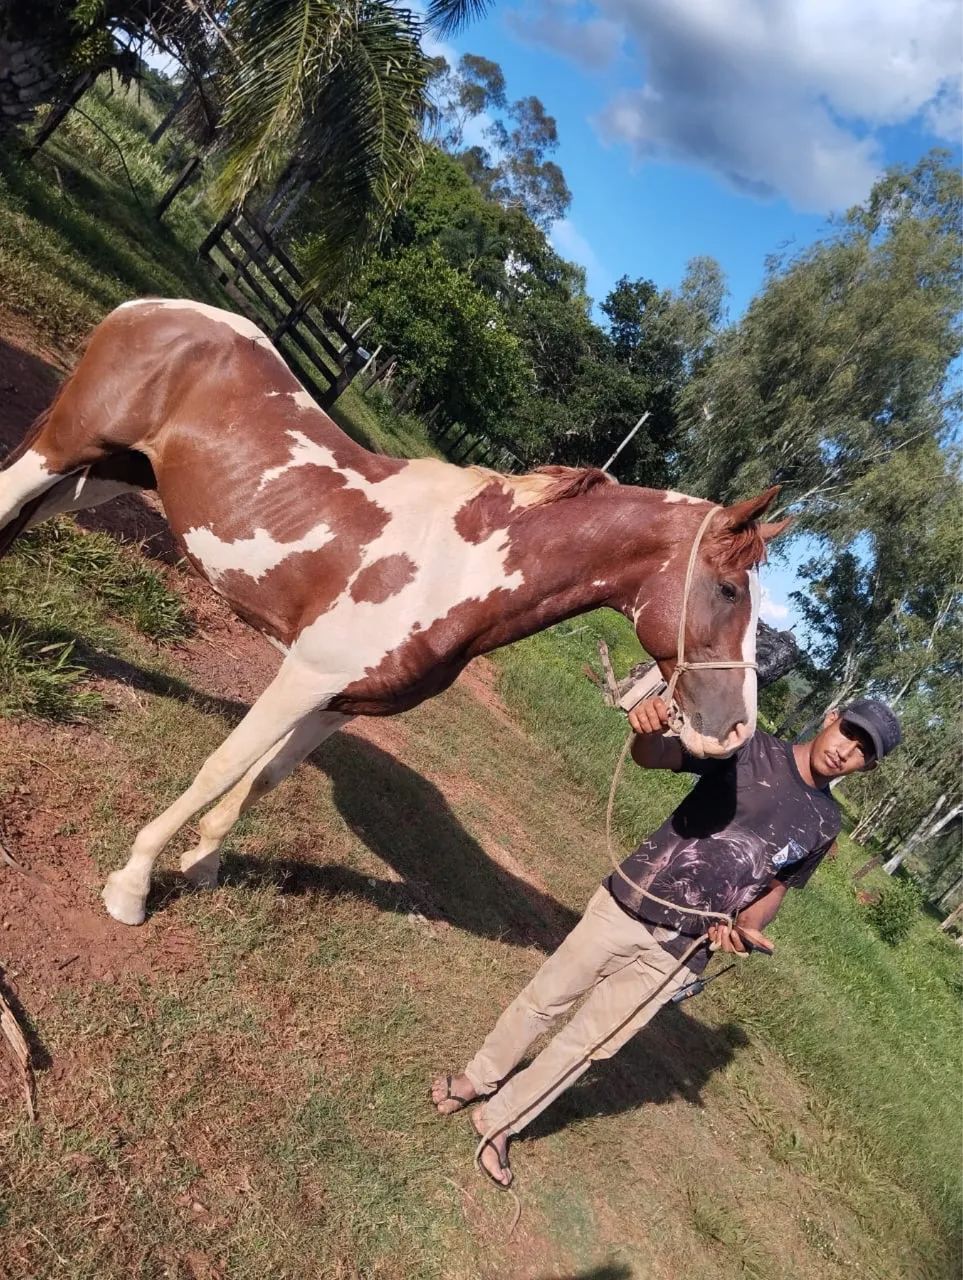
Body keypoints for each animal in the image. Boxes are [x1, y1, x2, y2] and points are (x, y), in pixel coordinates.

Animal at [0, 299, 789, 926]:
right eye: (728, 590)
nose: (733, 730)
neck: (459, 571)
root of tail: (154, 309)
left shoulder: (340, 704)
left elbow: (263, 780)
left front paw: (203, 867)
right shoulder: (303, 676)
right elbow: (221, 766)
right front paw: (132, 886)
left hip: (105, 476)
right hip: (63, 451)